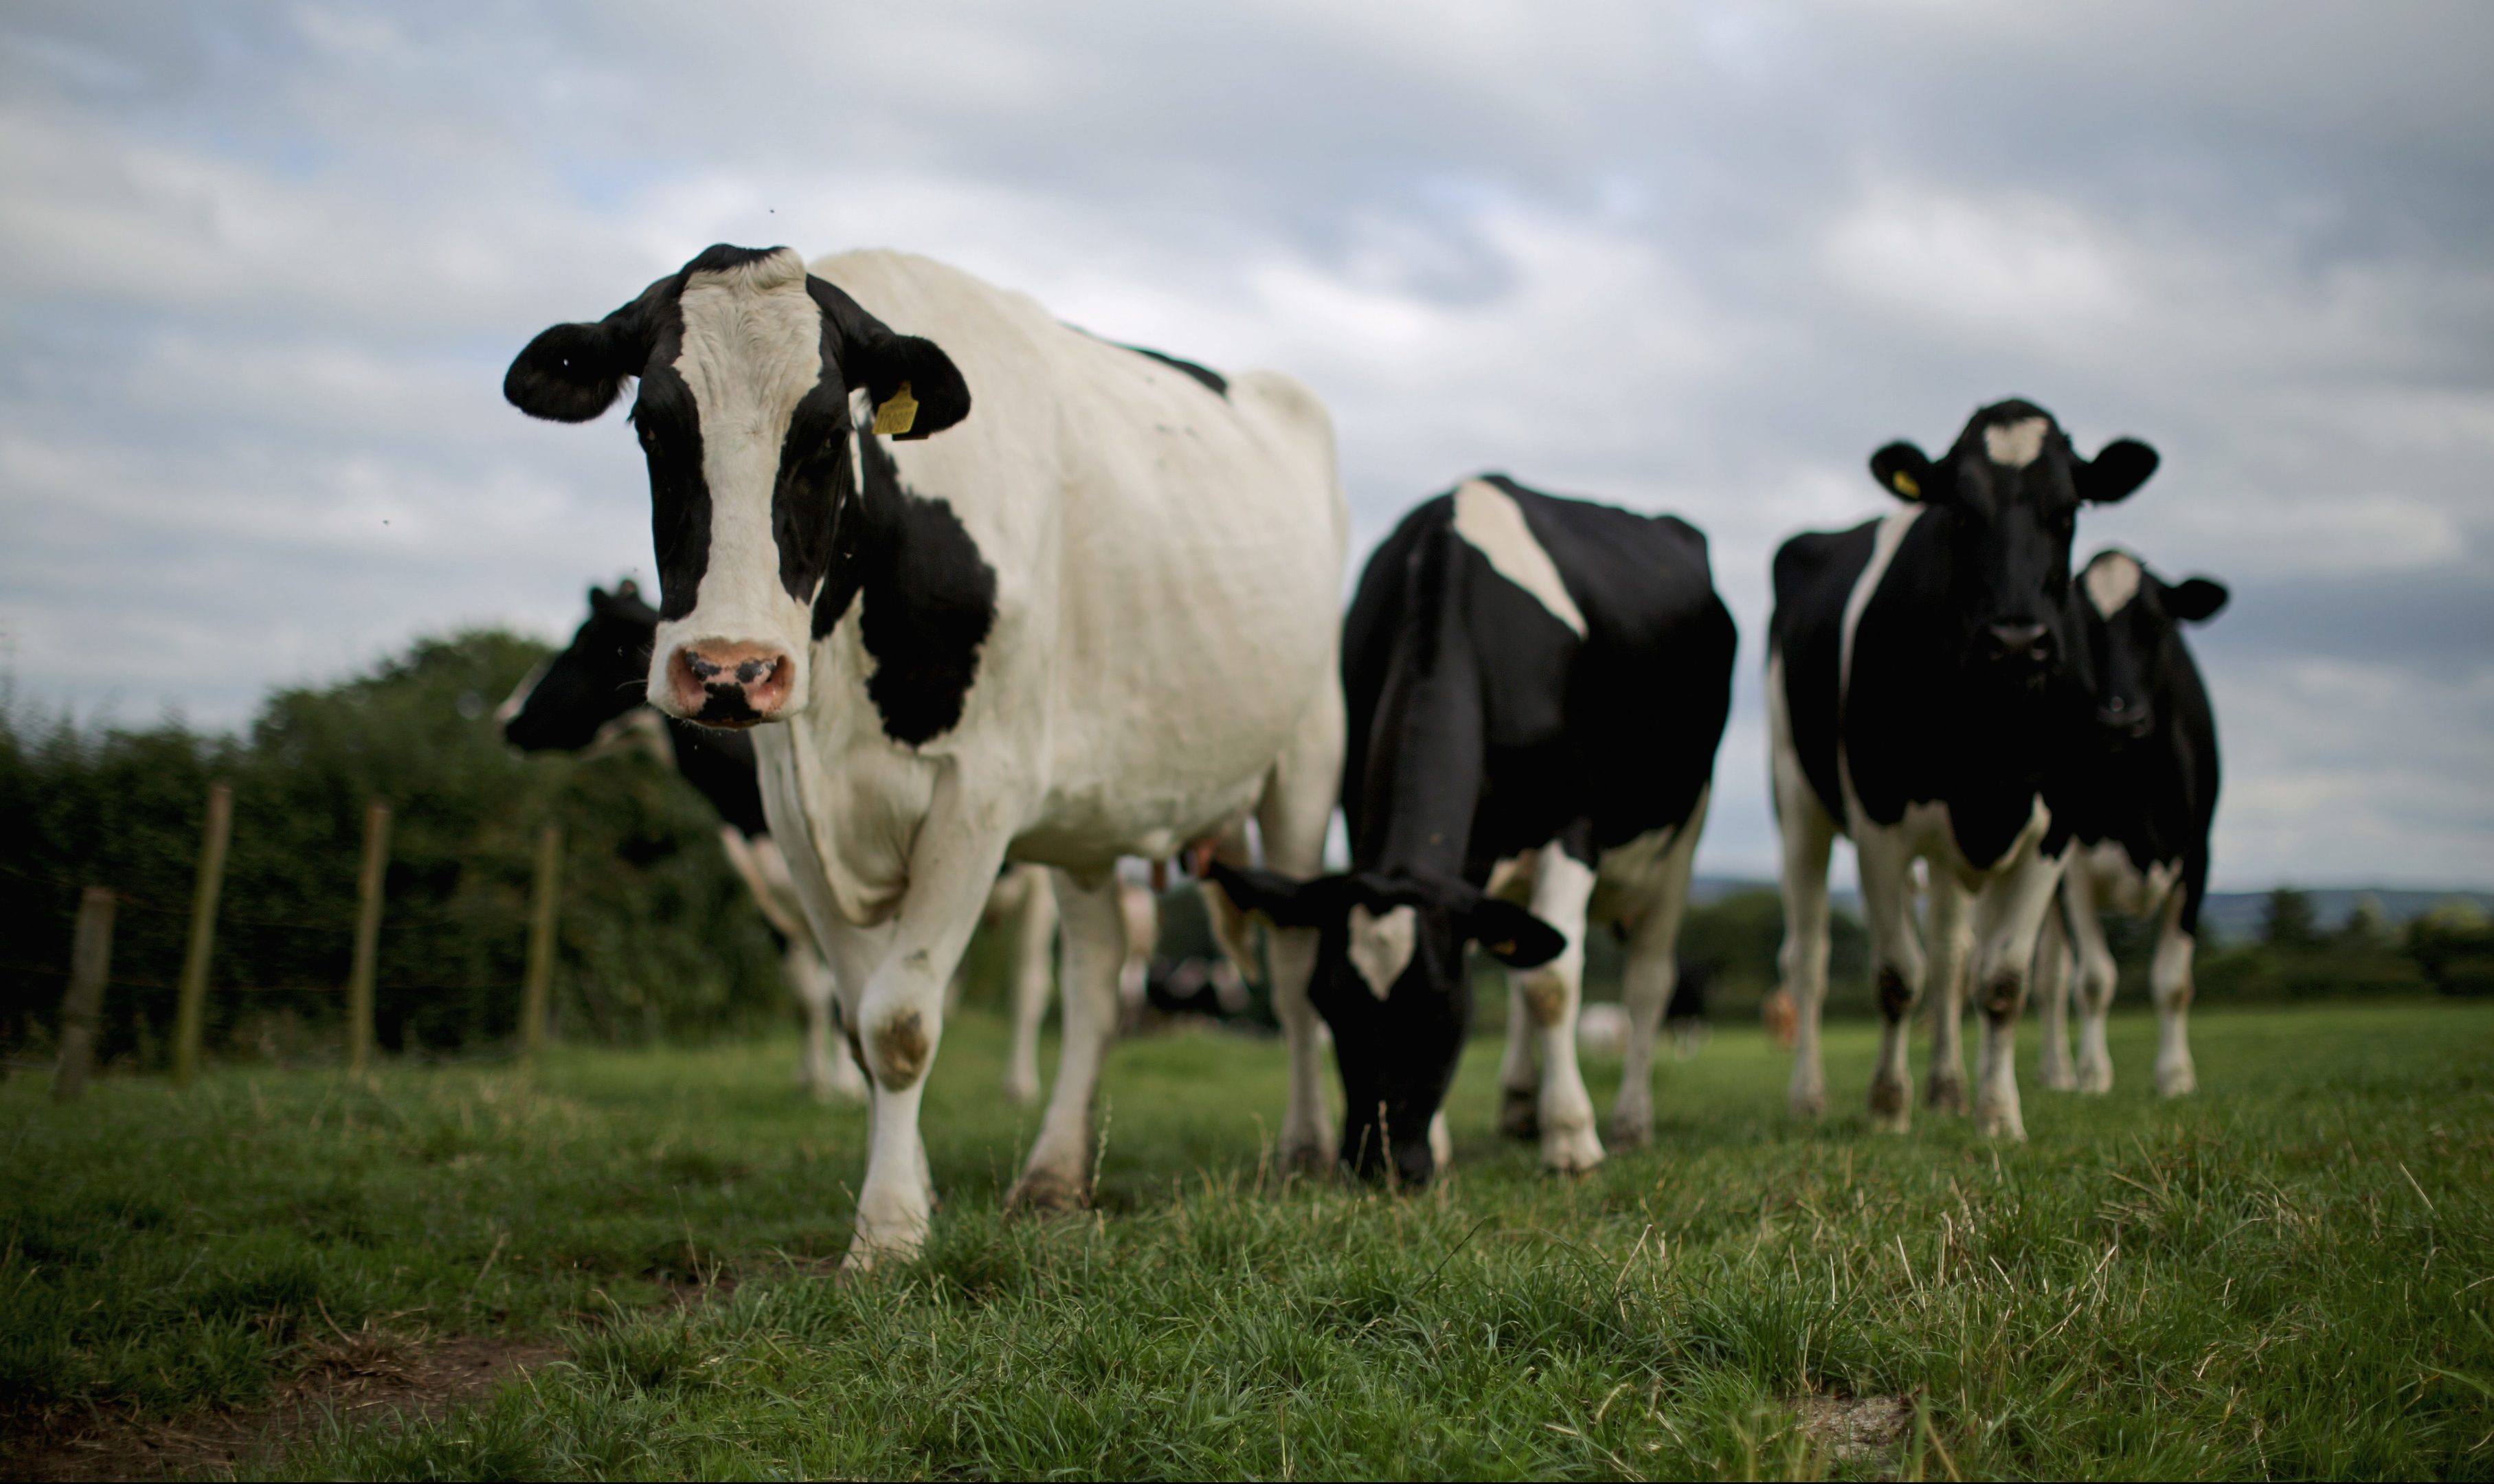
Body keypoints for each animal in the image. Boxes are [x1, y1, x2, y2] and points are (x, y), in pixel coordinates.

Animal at [504, 247, 1347, 1267]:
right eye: (652, 425)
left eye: (827, 433)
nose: (729, 669)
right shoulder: (792, 815)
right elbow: (855, 1021)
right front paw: (907, 1192)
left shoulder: (978, 793)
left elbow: (900, 1022)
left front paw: (889, 1234)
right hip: (1089, 816)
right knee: (1095, 979)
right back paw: (1054, 1174)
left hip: (1306, 759)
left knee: (1295, 970)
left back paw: (1305, 1151)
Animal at [1212, 481, 1735, 1192]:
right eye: (1328, 1003)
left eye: (1441, 1006)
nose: (1380, 1165)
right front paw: (1445, 1141)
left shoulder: (1574, 828)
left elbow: (1553, 984)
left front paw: (1572, 1140)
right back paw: (1519, 1106)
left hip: (1681, 837)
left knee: (1647, 982)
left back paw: (1630, 1122)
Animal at [1775, 394, 2164, 1137]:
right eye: (1959, 513)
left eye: (2068, 511)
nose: (2016, 640)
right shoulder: (1879, 821)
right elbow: (1897, 975)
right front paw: (1887, 1109)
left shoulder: (2054, 829)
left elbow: (2001, 980)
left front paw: (1998, 1115)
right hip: (1798, 803)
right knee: (1809, 959)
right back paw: (1808, 1096)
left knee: (1952, 955)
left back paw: (1949, 1088)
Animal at [2035, 551, 2234, 1097]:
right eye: (2078, 630)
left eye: (2157, 623)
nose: (2119, 720)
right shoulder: (2071, 865)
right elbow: (2094, 981)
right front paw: (2093, 1077)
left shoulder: (2197, 858)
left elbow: (2173, 982)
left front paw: (2176, 1077)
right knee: (2043, 979)